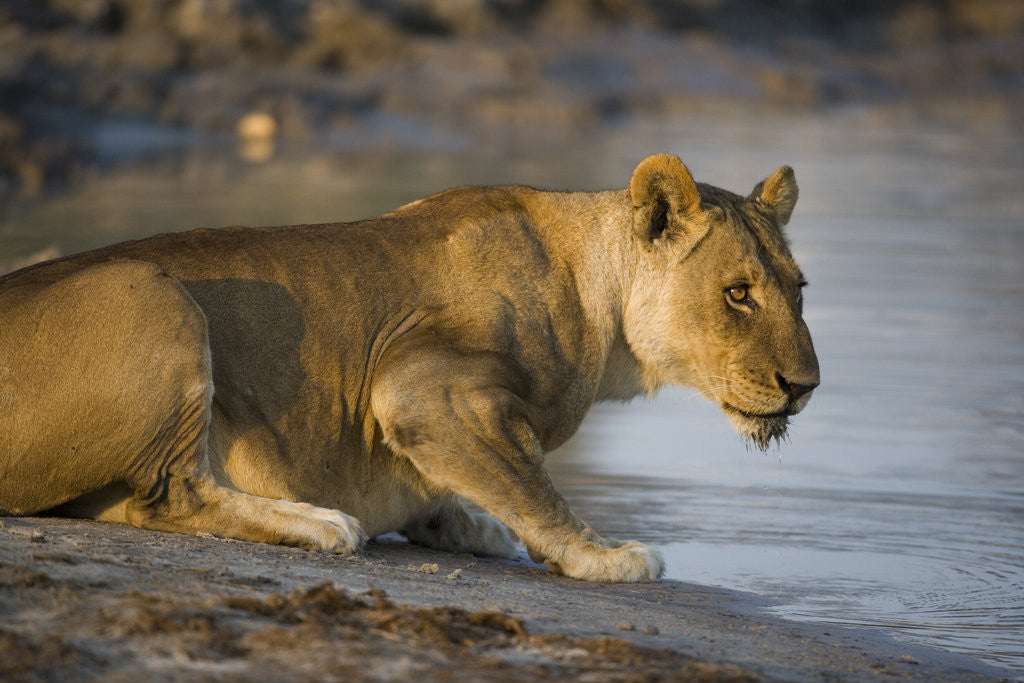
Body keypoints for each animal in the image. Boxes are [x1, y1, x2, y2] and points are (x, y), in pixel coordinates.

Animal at [0, 154, 818, 582]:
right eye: (738, 293)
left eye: (799, 288)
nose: (805, 387)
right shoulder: (420, 385)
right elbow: (532, 485)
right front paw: (604, 554)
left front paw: (465, 521)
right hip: (150, 293)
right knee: (172, 493)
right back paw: (321, 522)